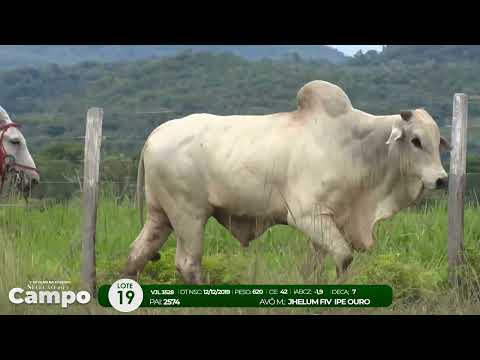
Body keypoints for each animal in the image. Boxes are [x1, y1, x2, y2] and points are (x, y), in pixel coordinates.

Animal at [121, 80, 450, 282]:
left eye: (437, 142)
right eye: (416, 140)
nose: (441, 179)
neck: (356, 147)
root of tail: (155, 134)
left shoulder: (328, 221)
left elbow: (315, 265)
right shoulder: (308, 215)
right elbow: (344, 257)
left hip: (160, 215)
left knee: (137, 253)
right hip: (188, 215)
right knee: (188, 263)